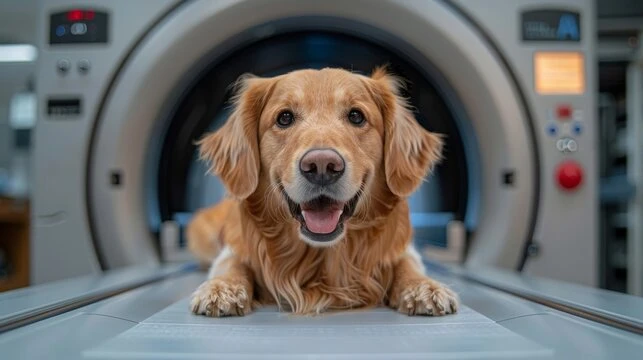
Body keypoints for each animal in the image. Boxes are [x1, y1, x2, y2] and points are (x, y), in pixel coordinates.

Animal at [185, 66, 458, 316]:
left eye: (356, 116)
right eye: (284, 118)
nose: (322, 166)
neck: (321, 260)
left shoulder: (403, 250)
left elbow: (407, 263)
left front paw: (423, 287)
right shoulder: (233, 250)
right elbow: (232, 263)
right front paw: (223, 287)